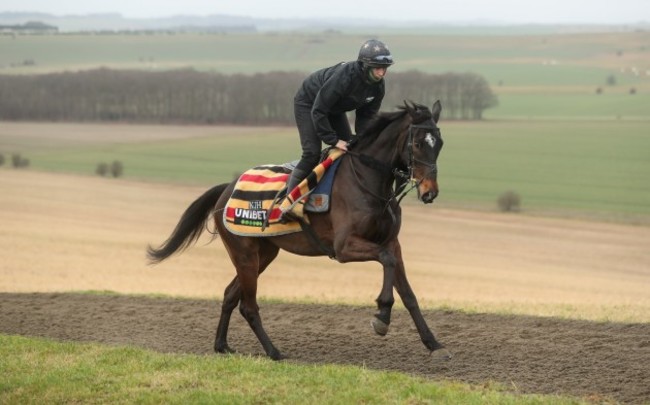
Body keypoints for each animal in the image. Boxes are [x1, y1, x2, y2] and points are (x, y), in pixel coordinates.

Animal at [149, 99, 448, 358]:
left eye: (440, 144)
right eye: (418, 144)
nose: (430, 192)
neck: (367, 181)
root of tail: (226, 189)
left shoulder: (391, 243)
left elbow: (408, 293)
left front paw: (433, 343)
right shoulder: (345, 247)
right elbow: (385, 262)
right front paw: (382, 315)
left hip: (264, 254)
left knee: (230, 294)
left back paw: (222, 345)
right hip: (244, 254)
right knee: (248, 304)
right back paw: (273, 351)